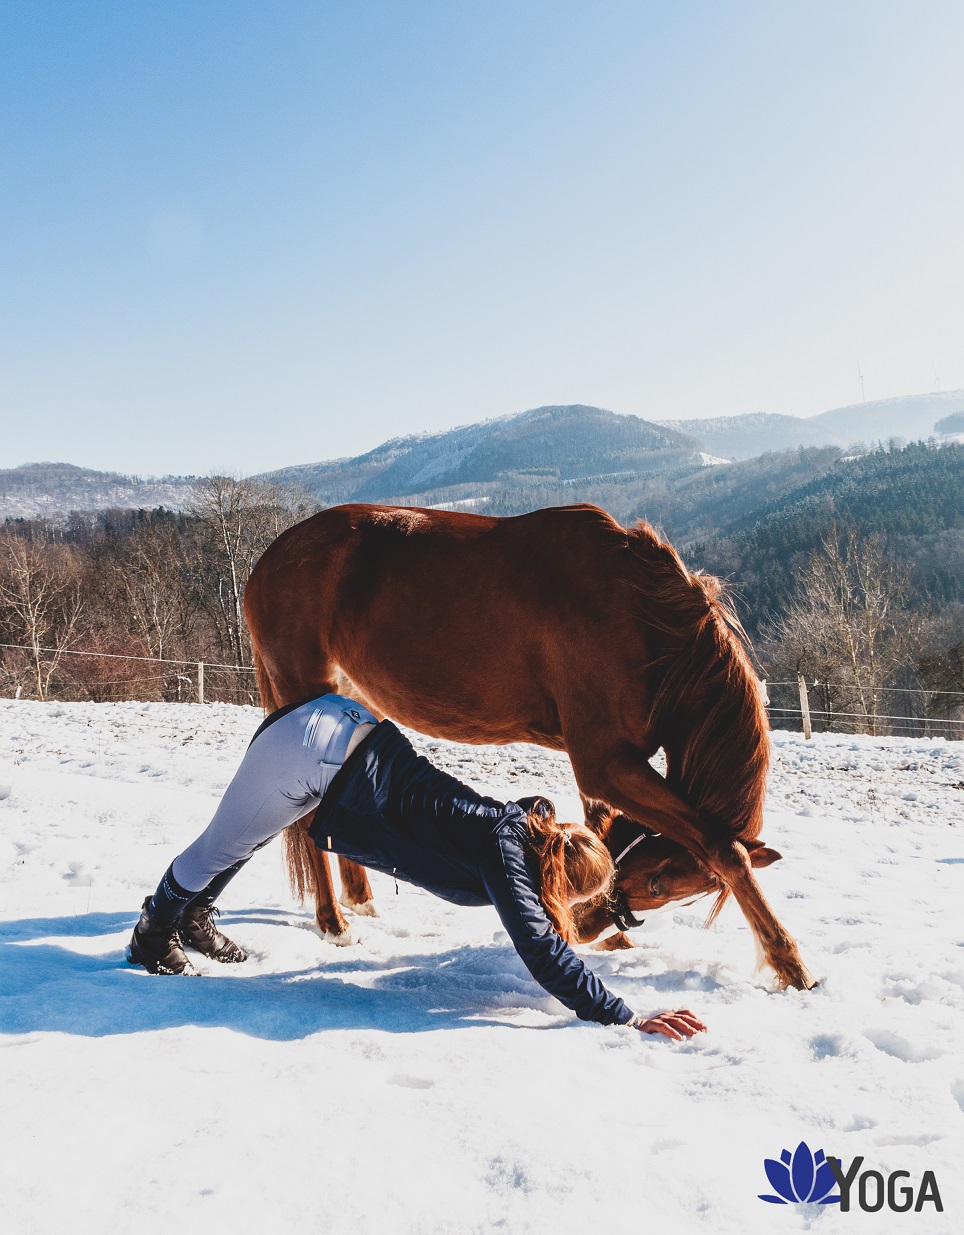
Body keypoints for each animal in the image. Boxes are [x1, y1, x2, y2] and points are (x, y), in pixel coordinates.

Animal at [243, 496, 814, 988]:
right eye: (659, 886)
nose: (587, 928)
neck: (638, 621)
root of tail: (267, 561)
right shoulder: (606, 764)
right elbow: (724, 849)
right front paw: (791, 965)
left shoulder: (605, 771)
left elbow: (602, 830)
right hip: (305, 698)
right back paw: (334, 923)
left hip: (355, 703)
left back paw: (360, 901)